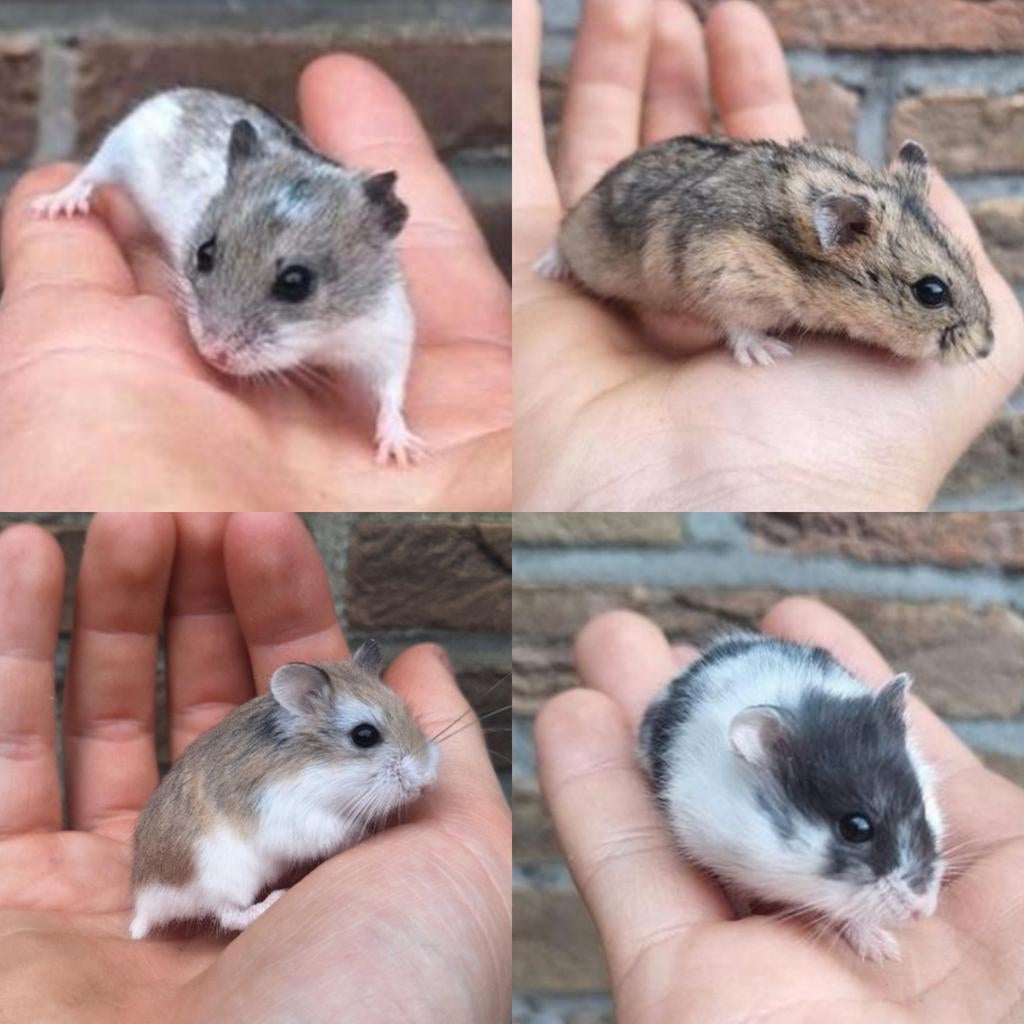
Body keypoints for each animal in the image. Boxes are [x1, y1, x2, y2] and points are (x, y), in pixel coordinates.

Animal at [32, 88, 423, 465]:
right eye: (204, 254)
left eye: (296, 283)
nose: (212, 354)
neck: (320, 339)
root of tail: (193, 92)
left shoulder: (385, 330)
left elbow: (391, 389)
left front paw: (401, 453)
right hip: (120, 147)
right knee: (89, 174)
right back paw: (56, 204)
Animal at [129, 640, 438, 940]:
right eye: (364, 735)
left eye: (407, 711)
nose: (423, 781)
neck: (317, 763)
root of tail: (145, 902)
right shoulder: (295, 816)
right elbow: (342, 829)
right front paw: (365, 832)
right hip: (223, 876)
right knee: (229, 915)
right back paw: (273, 900)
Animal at [537, 136, 993, 367]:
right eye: (931, 292)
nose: (987, 348)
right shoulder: (720, 275)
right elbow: (738, 325)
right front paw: (768, 353)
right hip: (584, 239)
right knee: (561, 239)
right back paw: (546, 267)